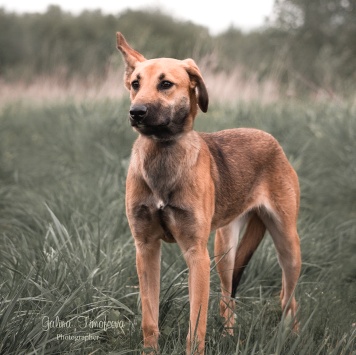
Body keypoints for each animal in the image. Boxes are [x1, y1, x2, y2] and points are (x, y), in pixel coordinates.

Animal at [117, 32, 300, 354]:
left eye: (166, 84)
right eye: (136, 84)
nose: (136, 112)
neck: (163, 154)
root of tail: (271, 140)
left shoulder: (196, 254)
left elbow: (196, 325)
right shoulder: (146, 248)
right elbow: (149, 319)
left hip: (287, 245)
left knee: (289, 299)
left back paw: (290, 338)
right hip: (224, 250)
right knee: (227, 300)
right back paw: (229, 336)